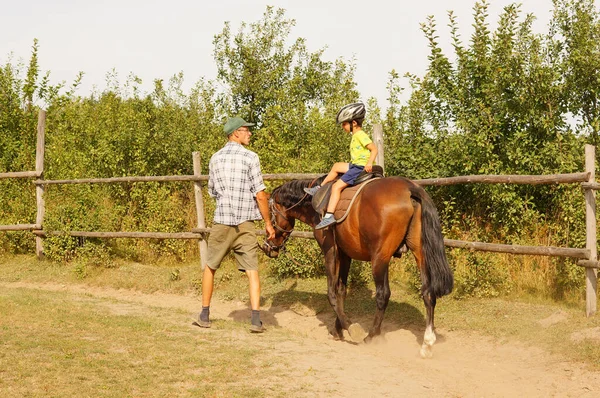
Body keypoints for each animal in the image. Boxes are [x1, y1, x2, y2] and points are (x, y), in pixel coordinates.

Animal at [260, 176, 452, 360]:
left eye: (269, 215)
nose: (268, 247)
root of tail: (409, 189)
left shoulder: (330, 251)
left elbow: (331, 293)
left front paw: (350, 328)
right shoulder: (345, 255)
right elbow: (341, 290)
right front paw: (338, 329)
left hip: (379, 258)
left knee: (383, 295)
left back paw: (371, 336)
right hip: (420, 253)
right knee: (428, 293)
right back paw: (427, 344)